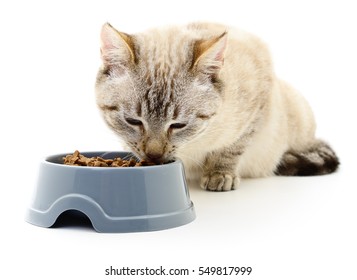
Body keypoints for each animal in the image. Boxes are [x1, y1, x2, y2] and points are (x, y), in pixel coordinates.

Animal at [95, 22, 340, 190]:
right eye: (133, 121)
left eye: (178, 125)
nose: (154, 156)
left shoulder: (258, 105)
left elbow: (231, 149)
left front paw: (219, 175)